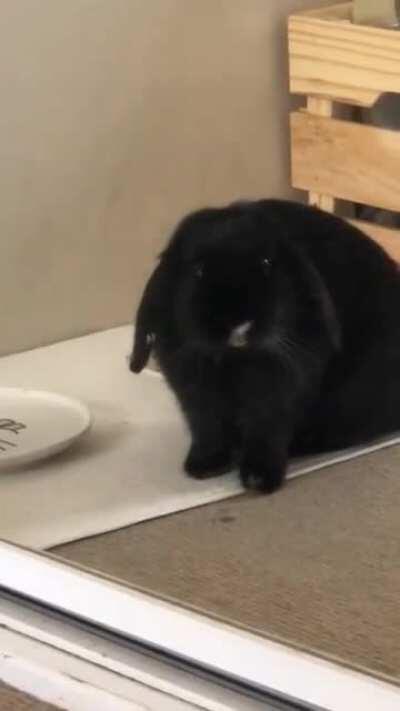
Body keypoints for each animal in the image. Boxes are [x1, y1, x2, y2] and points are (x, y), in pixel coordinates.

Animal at [130, 199, 400, 493]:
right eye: (198, 270)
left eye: (267, 263)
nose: (238, 324)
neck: (235, 359)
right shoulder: (195, 394)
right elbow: (207, 427)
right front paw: (203, 468)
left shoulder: (278, 393)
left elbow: (266, 430)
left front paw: (259, 480)